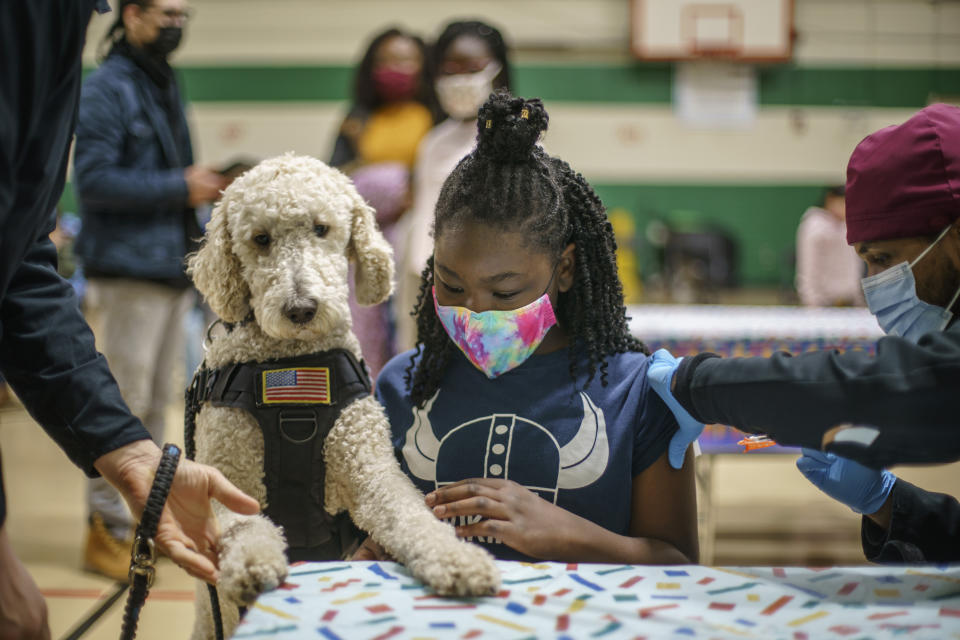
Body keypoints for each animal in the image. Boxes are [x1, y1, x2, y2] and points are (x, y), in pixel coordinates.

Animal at [185, 154, 498, 640]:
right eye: (261, 239)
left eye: (321, 228)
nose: (300, 309)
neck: (293, 367)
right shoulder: (227, 476)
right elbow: (244, 525)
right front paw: (254, 563)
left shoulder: (369, 470)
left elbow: (410, 516)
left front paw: (456, 559)